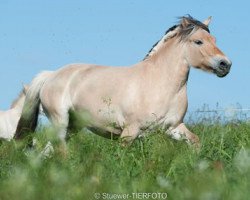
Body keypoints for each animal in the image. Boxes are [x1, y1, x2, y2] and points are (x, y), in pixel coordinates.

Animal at [14, 16, 231, 147]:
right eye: (198, 42)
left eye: (215, 40)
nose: (225, 65)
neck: (161, 84)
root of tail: (51, 75)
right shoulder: (130, 132)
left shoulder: (174, 127)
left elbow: (195, 142)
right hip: (60, 122)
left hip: (73, 127)